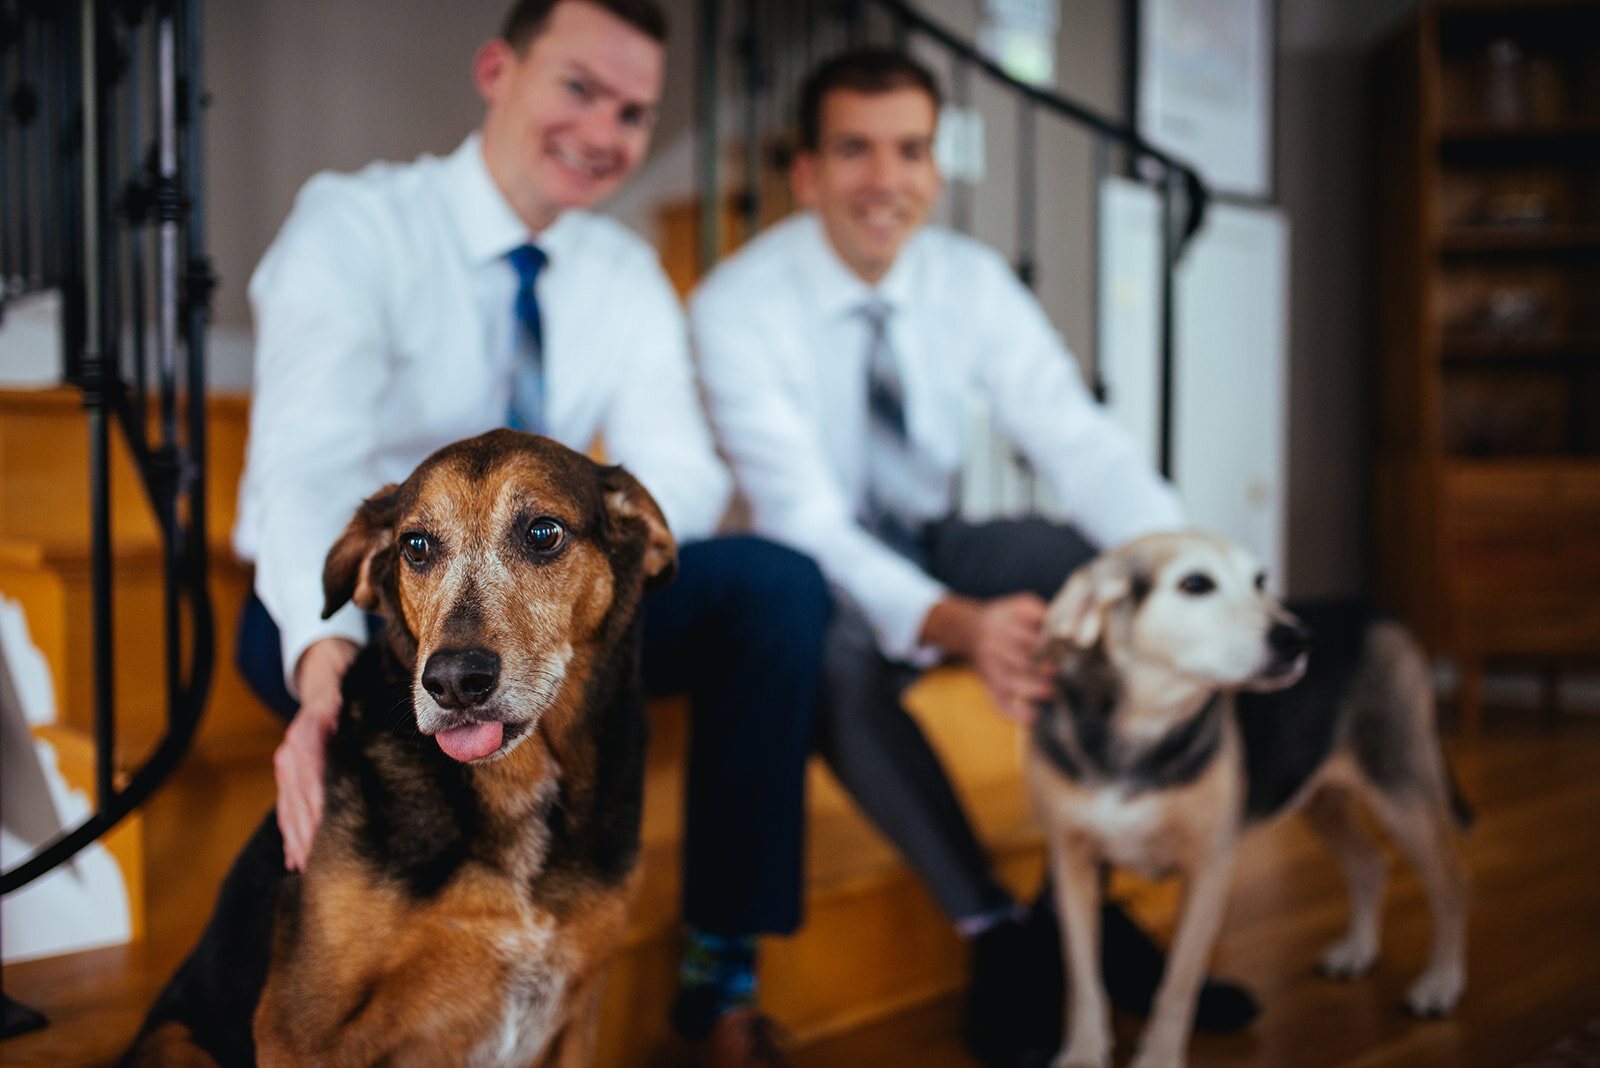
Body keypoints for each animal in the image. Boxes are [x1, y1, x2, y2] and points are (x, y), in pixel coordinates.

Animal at [124, 431, 675, 1068]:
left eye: (543, 533)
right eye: (416, 546)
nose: (454, 681)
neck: (513, 788)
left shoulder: (576, 1019)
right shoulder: (299, 1030)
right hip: (174, 1042)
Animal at [1030, 530, 1465, 1068]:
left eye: (1261, 582)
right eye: (1196, 584)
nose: (1298, 639)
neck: (1140, 732)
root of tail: (1377, 610)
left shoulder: (1208, 871)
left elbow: (1178, 984)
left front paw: (1159, 1057)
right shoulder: (1073, 863)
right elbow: (1084, 979)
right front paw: (1084, 1052)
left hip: (1400, 787)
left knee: (1451, 887)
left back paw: (1440, 984)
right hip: (1320, 796)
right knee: (1369, 864)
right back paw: (1358, 951)